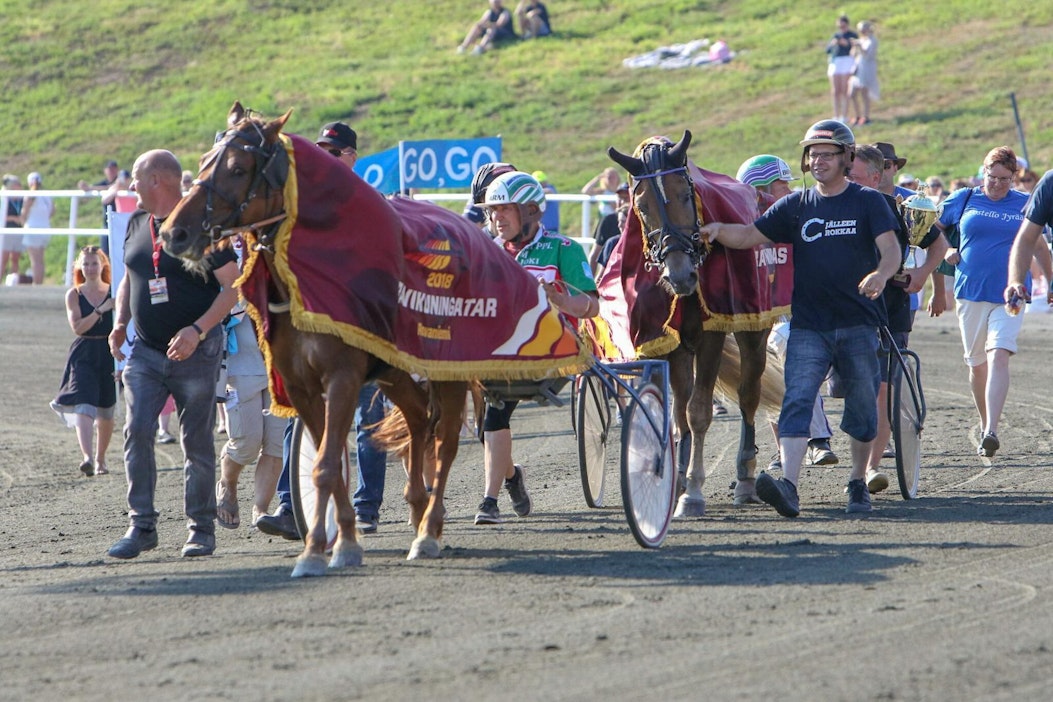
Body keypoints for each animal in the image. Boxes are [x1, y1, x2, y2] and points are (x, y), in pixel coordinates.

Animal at [157, 104, 467, 576]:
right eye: (206, 161)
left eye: (237, 167)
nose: (174, 233)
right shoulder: (301, 385)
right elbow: (328, 461)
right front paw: (330, 545)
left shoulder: (341, 378)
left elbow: (322, 465)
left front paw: (327, 549)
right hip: (394, 373)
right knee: (418, 421)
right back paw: (418, 512)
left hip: (450, 370)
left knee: (446, 440)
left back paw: (429, 531)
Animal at [606, 131, 787, 515]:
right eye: (642, 207)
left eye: (686, 196)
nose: (680, 275)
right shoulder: (670, 342)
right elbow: (677, 413)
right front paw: (674, 481)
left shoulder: (710, 335)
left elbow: (698, 411)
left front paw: (693, 490)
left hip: (753, 328)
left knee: (749, 394)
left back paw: (746, 478)